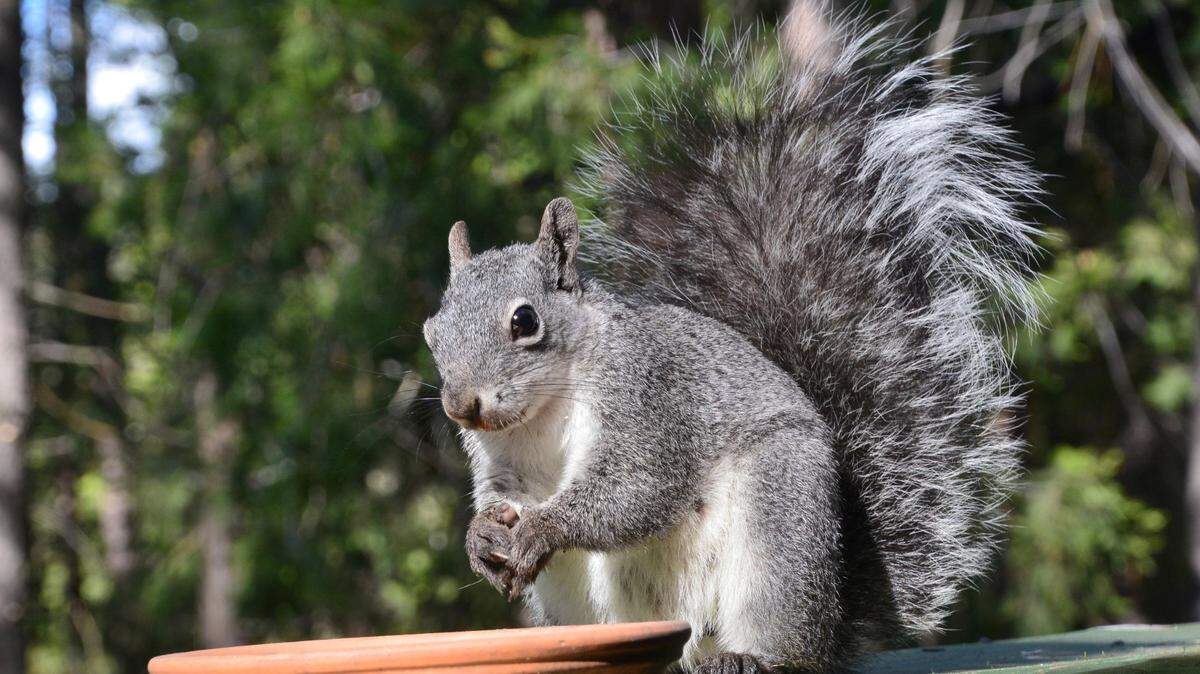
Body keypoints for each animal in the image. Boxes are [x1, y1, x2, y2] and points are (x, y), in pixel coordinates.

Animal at [422, 6, 1040, 673]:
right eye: (433, 332)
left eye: (525, 321)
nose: (462, 406)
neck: (544, 408)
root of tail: (833, 623)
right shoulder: (507, 461)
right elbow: (503, 494)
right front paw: (483, 536)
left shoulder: (651, 394)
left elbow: (636, 488)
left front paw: (540, 529)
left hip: (780, 519)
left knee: (783, 642)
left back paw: (750, 657)